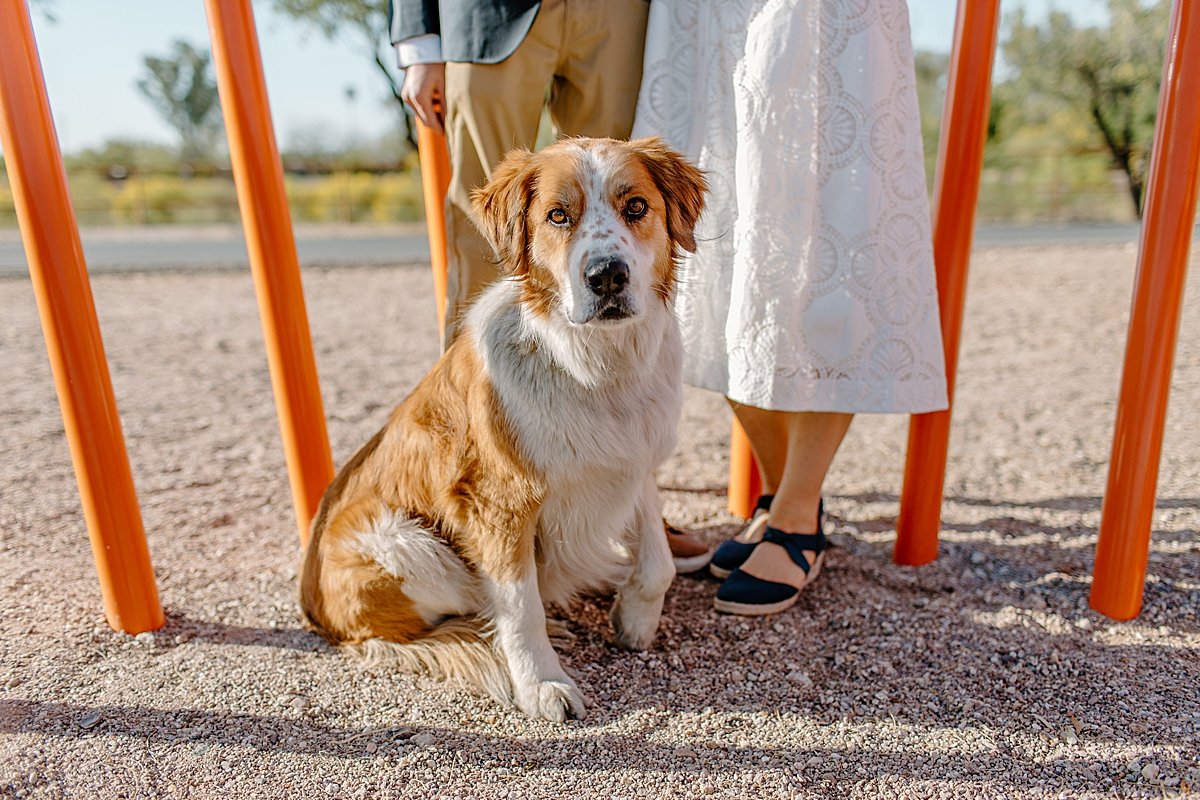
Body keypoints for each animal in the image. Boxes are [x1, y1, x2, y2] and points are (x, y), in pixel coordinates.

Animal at [300, 134, 705, 724]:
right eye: (557, 215)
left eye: (636, 207)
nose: (606, 275)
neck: (594, 367)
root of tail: (318, 618)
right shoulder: (499, 501)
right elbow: (519, 605)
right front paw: (541, 684)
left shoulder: (635, 460)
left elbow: (658, 563)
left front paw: (634, 620)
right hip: (407, 545)